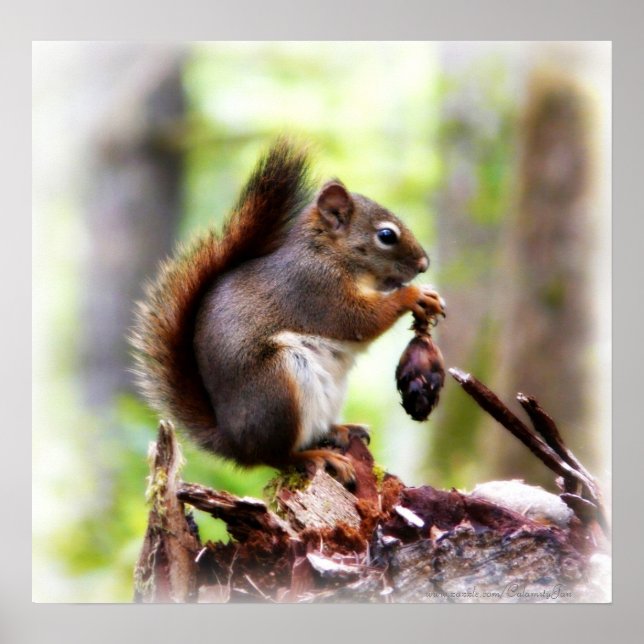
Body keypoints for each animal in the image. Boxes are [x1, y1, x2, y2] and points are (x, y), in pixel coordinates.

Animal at [131, 140, 445, 486]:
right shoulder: (316, 289)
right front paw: (413, 295)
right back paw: (317, 456)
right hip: (280, 385)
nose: (424, 265)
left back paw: (341, 429)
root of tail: (236, 445)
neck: (327, 252)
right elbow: (360, 320)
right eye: (386, 236)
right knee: (277, 456)